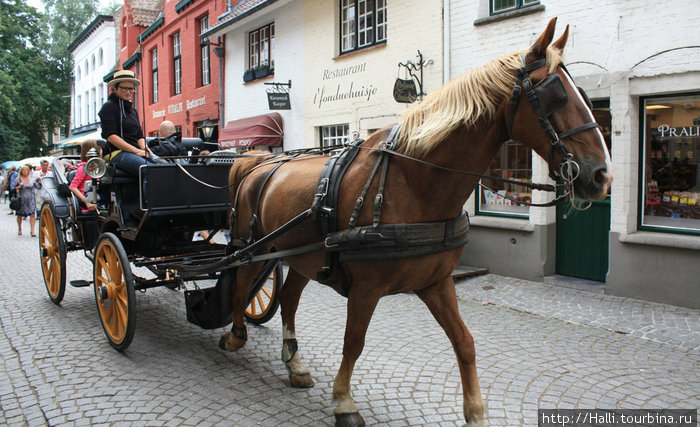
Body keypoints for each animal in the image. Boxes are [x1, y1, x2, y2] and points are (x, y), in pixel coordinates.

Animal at [221, 18, 608, 426]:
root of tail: (258, 161)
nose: (601, 174)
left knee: (289, 299)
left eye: (581, 92)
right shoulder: (366, 288)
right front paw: (344, 400)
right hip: (254, 247)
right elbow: (353, 342)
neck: (415, 180)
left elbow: (465, 342)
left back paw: (294, 365)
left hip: (300, 256)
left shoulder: (436, 282)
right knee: (242, 283)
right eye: (556, 95)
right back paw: (235, 335)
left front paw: (476, 412)